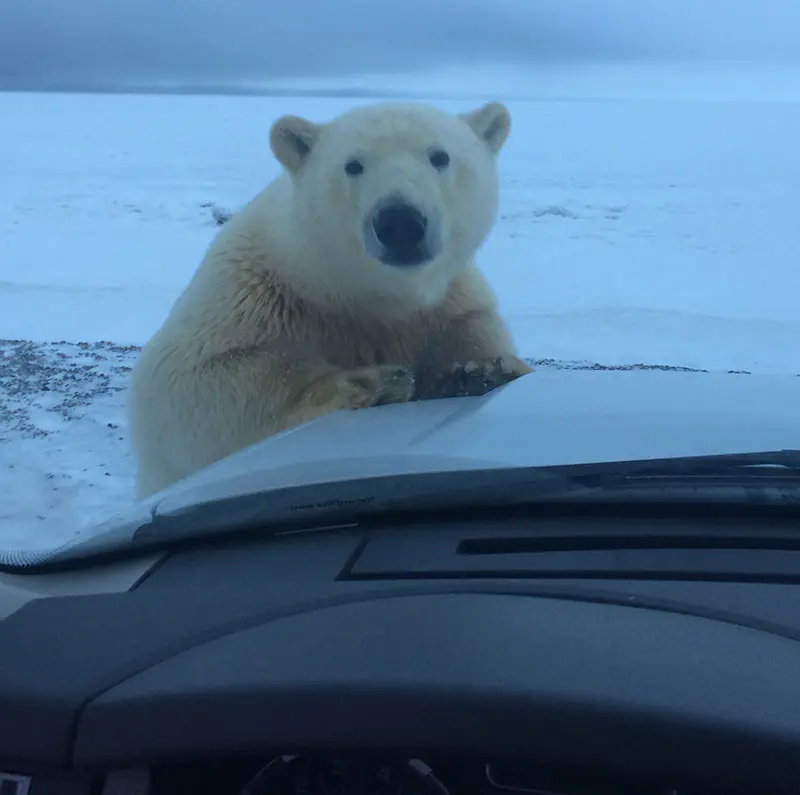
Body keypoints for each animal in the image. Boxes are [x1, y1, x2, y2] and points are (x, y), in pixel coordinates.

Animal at [126, 99, 532, 498]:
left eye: (440, 156)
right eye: (353, 165)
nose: (399, 221)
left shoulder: (447, 302)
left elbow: (474, 326)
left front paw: (481, 371)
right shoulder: (251, 292)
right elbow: (182, 382)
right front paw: (372, 384)